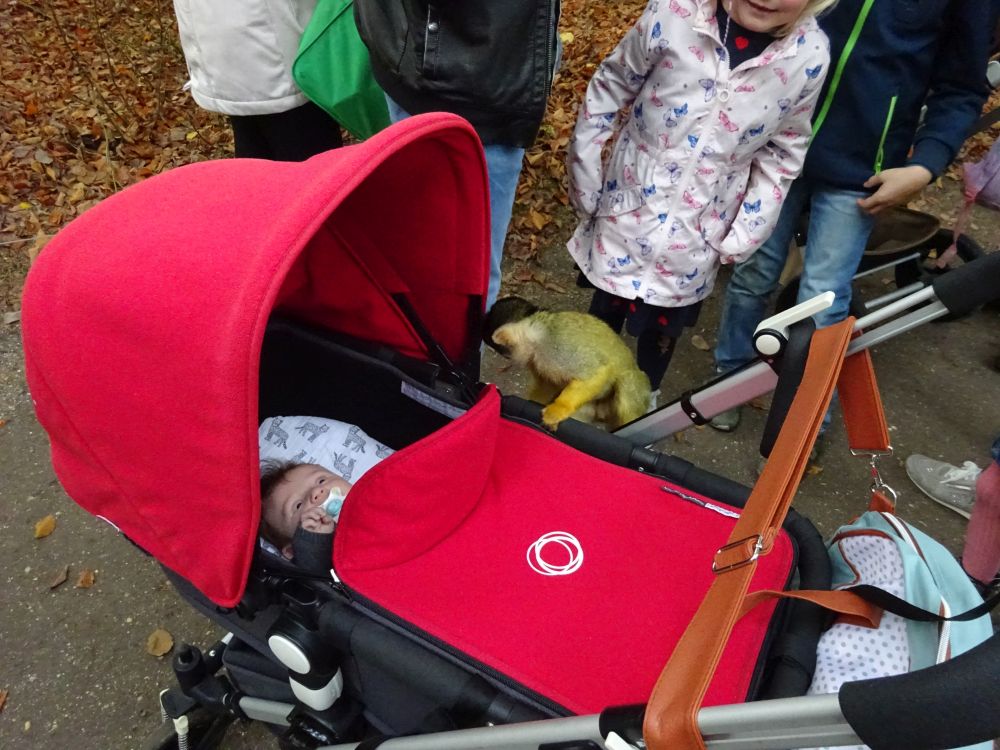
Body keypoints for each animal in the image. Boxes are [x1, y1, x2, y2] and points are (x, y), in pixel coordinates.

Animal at [483, 296, 652, 431]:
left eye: (505, 354)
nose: (508, 359)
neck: (536, 333)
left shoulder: (556, 347)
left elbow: (597, 372)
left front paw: (559, 408)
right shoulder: (537, 360)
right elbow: (548, 384)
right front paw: (533, 402)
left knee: (627, 382)